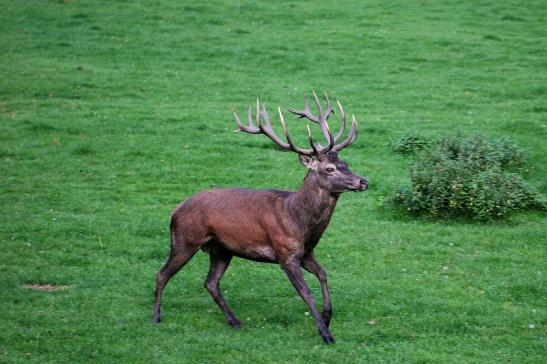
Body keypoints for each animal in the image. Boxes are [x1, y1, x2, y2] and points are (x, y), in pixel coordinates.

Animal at [152, 91, 370, 344]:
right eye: (329, 169)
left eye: (345, 163)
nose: (363, 181)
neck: (300, 223)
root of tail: (175, 211)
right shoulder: (285, 253)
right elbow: (305, 292)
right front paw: (326, 333)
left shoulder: (306, 252)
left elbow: (324, 275)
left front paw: (326, 318)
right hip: (185, 239)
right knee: (162, 273)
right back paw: (156, 317)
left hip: (221, 249)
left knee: (211, 282)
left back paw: (235, 321)